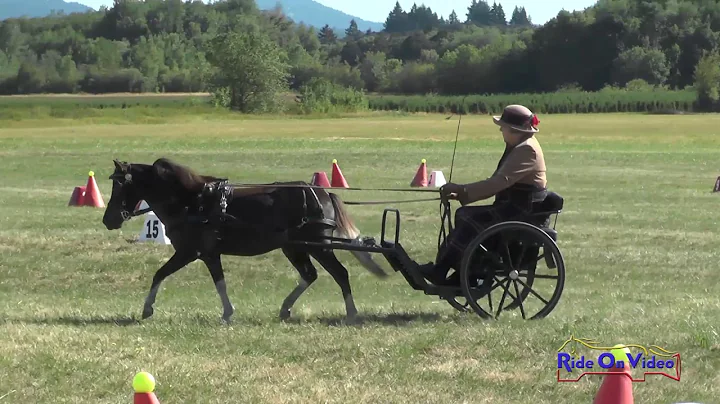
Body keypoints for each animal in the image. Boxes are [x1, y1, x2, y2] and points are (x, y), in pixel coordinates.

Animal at [101, 157, 388, 322]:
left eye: (120, 185)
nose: (108, 219)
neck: (191, 201)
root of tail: (323, 193)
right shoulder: (209, 254)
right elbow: (220, 282)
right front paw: (228, 312)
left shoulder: (189, 252)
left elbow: (160, 274)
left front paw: (147, 309)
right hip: (294, 248)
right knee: (309, 275)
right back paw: (285, 308)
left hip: (319, 247)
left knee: (340, 273)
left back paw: (351, 313)